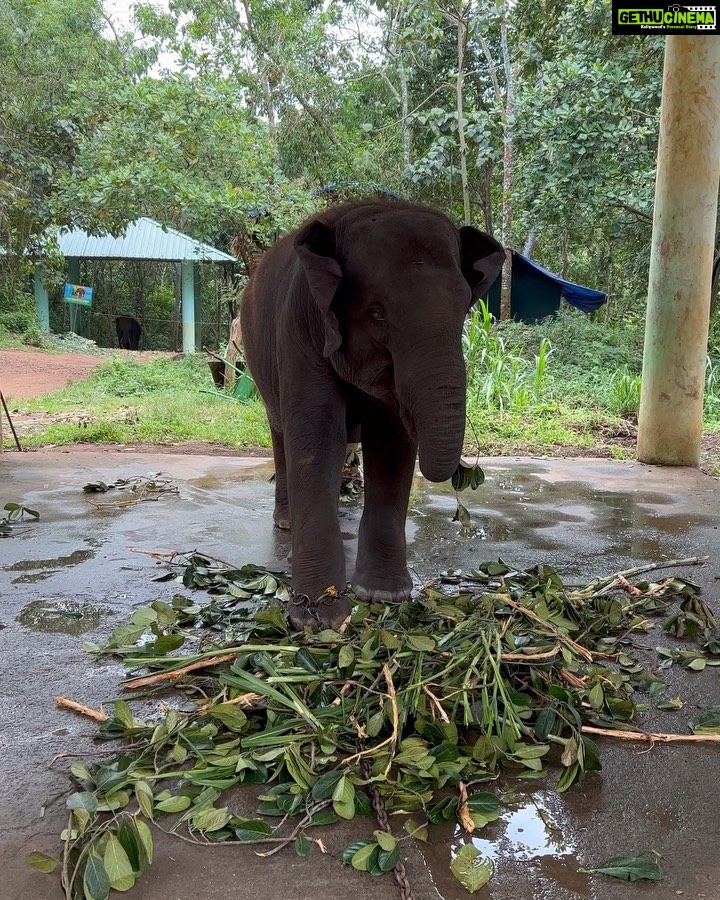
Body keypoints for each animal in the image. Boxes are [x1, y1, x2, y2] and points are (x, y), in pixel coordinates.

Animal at [239, 200, 504, 628]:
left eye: (464, 309)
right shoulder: (298, 326)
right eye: (377, 313)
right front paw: (318, 620)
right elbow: (317, 440)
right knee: (281, 434)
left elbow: (392, 445)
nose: (465, 477)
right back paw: (286, 523)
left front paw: (384, 596)